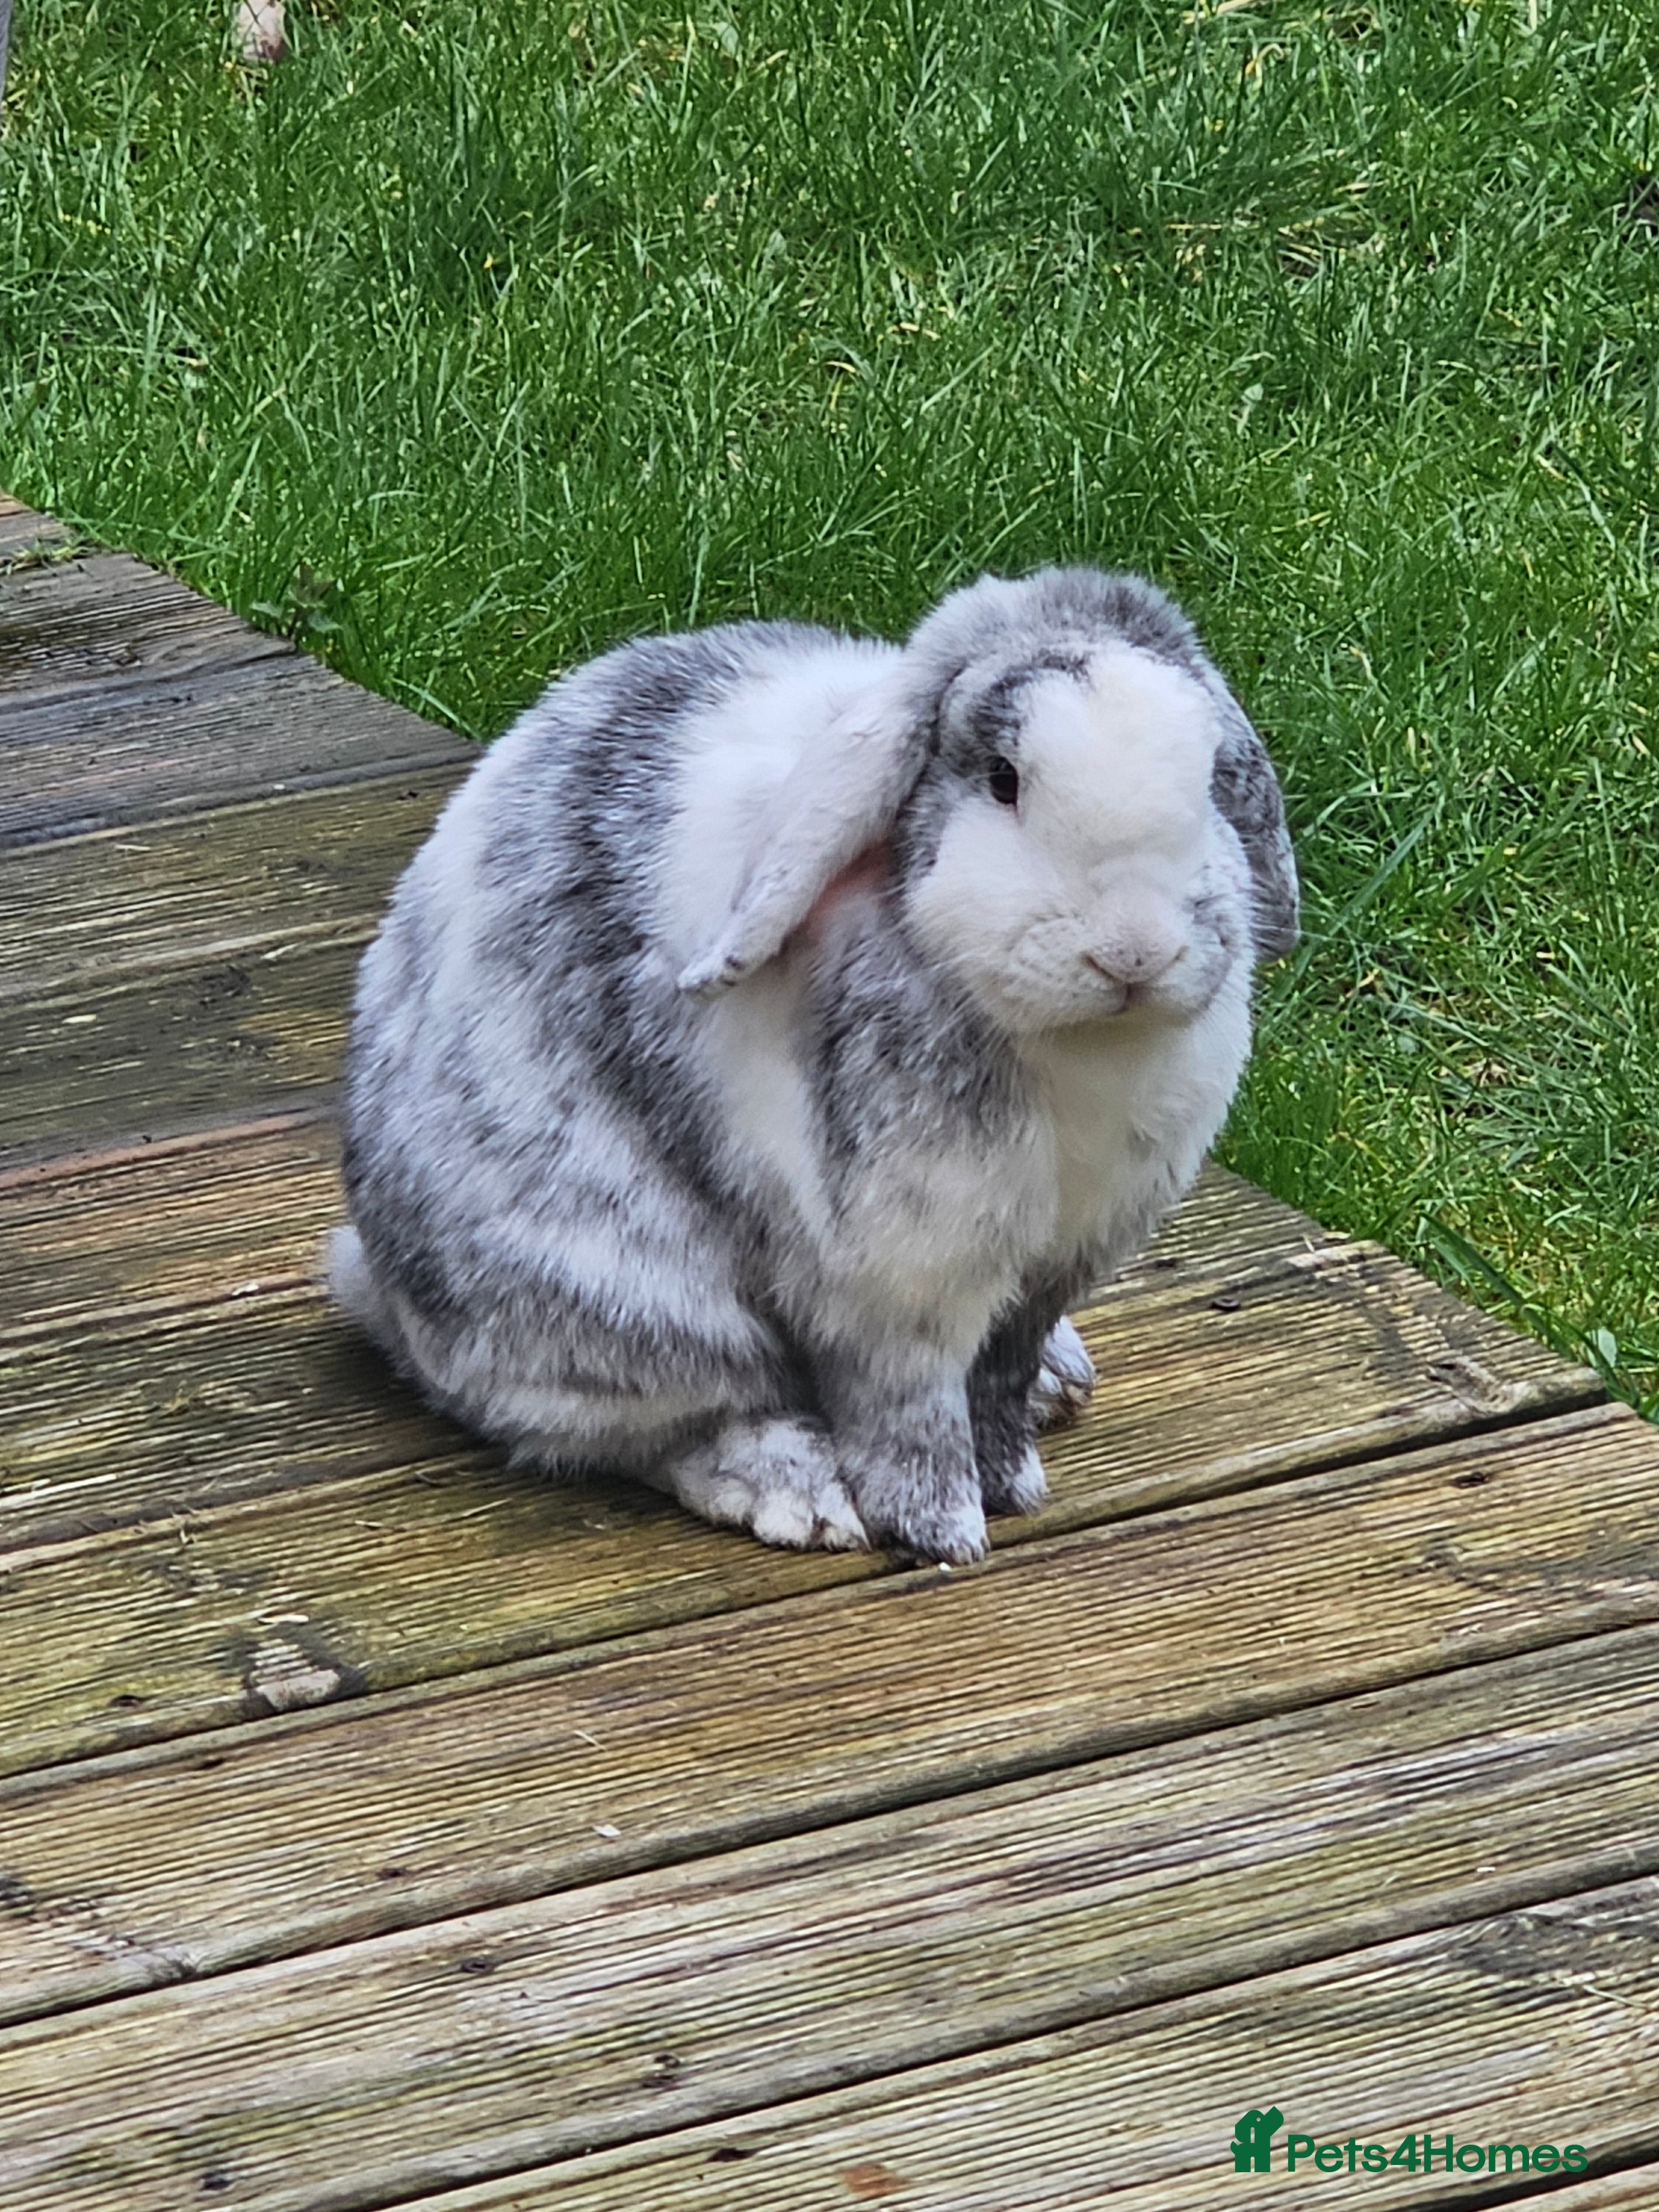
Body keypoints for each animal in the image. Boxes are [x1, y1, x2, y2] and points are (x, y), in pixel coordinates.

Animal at [330, 566, 1297, 1563]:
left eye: (1210, 783)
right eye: (1003, 780)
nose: (1134, 951)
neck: (1078, 1044)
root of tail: (380, 1286)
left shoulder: (1053, 1264)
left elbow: (999, 1374)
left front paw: (1014, 1481)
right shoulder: (904, 1280)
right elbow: (909, 1409)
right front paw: (946, 1531)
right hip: (632, 1305)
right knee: (662, 1423)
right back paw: (802, 1497)